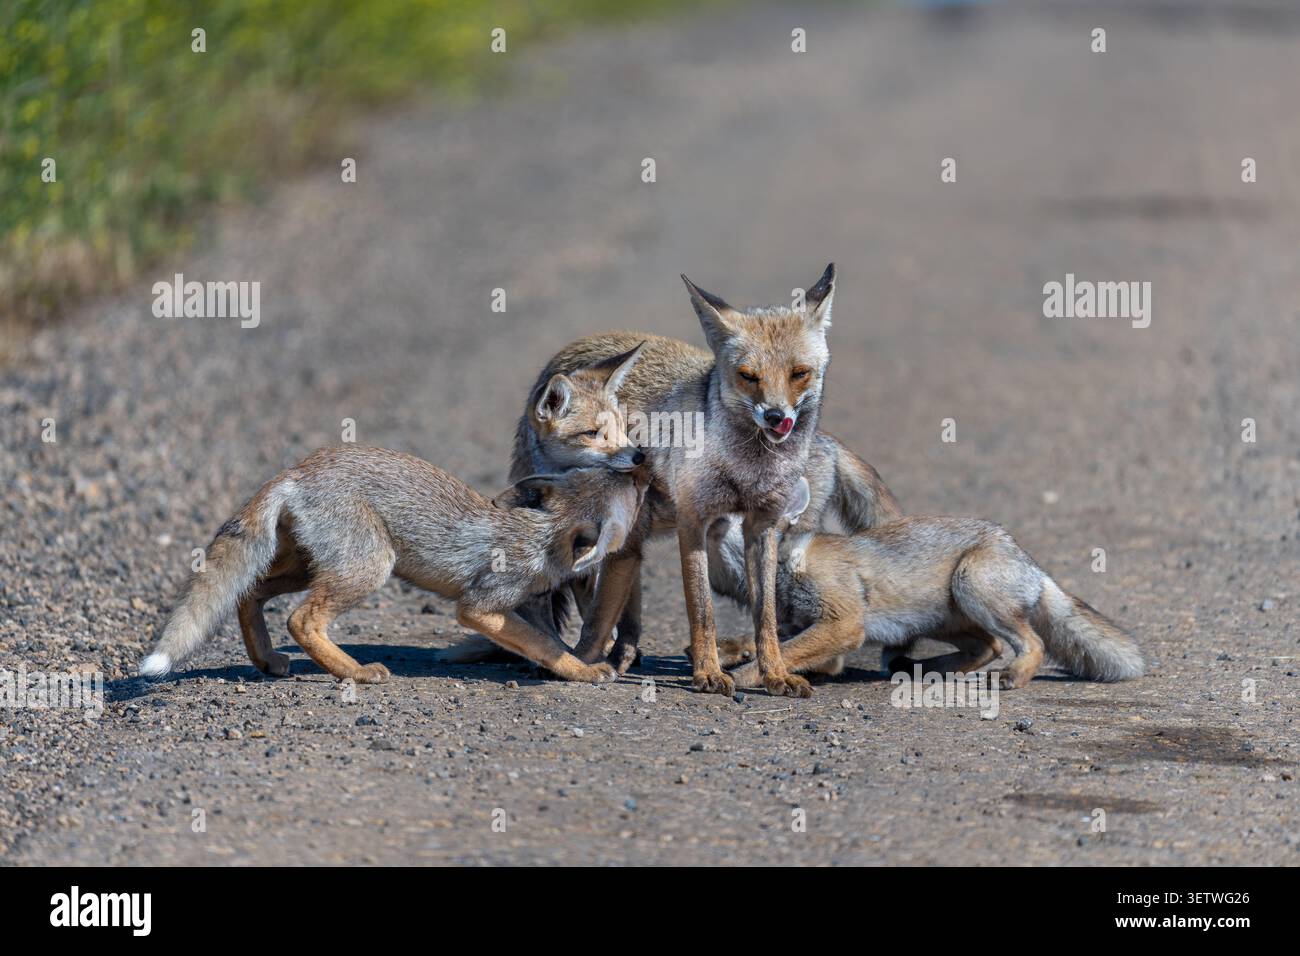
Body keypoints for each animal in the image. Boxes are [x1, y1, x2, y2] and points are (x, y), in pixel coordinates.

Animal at [138, 446, 648, 685]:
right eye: (626, 486)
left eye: (617, 473)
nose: (642, 461)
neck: (540, 537)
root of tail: (297, 471)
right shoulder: (482, 605)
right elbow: (547, 647)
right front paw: (583, 673)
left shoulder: (526, 605)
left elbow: (551, 640)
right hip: (370, 566)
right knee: (300, 619)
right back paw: (354, 672)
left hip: (310, 568)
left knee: (249, 594)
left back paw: (267, 660)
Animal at [713, 478, 1145, 688]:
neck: (791, 565)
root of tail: (1029, 560)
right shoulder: (803, 626)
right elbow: (769, 646)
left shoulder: (843, 622)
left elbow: (777, 655)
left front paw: (743, 678)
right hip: (943, 619)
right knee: (988, 647)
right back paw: (921, 668)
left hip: (971, 586)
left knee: (1030, 643)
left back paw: (1011, 677)